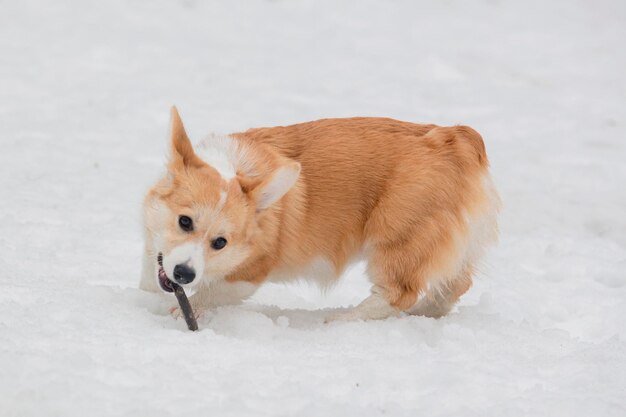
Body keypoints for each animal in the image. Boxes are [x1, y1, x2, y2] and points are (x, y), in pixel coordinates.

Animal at [140, 108, 498, 322]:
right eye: (184, 221)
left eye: (220, 243)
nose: (184, 274)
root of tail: (456, 139)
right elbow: (149, 278)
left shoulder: (247, 276)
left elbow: (213, 294)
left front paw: (182, 311)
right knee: (456, 282)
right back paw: (427, 313)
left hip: (398, 235)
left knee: (396, 294)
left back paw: (341, 322)